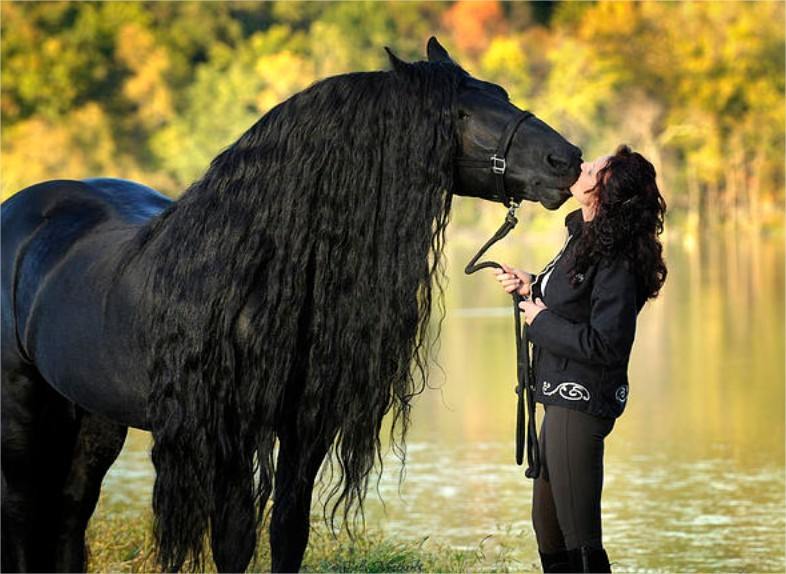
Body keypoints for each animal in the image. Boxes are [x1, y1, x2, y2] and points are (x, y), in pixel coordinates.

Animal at [0, 38, 576, 572]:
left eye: (501, 94)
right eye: (460, 112)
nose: (566, 160)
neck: (257, 271)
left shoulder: (307, 427)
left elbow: (288, 530)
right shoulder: (230, 434)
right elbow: (234, 540)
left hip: (92, 416)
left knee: (70, 512)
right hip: (23, 407)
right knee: (23, 509)